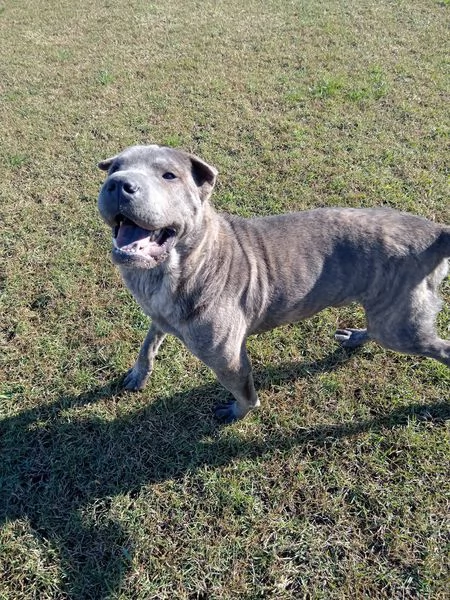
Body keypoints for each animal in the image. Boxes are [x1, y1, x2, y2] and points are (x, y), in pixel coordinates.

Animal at [98, 144, 450, 422]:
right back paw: (357, 337)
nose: (118, 184)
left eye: (169, 175)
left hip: (401, 328)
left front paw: (238, 413)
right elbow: (148, 345)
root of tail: (435, 234)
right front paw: (138, 374)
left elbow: (245, 394)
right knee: (376, 329)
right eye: (115, 167)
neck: (183, 266)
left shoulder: (229, 360)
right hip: (388, 316)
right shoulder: (159, 316)